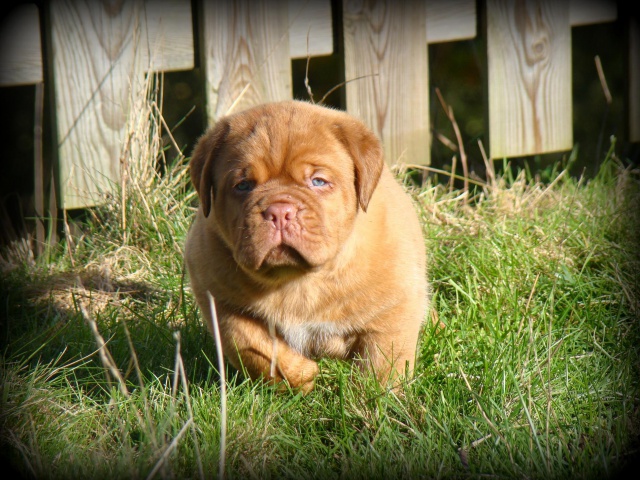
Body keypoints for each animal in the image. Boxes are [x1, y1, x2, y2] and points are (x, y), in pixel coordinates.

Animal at [182, 101, 428, 394]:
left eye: (318, 181)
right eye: (243, 185)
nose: (279, 211)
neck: (297, 280)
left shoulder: (393, 308)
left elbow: (381, 364)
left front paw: (373, 399)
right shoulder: (217, 297)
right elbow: (248, 342)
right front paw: (298, 376)